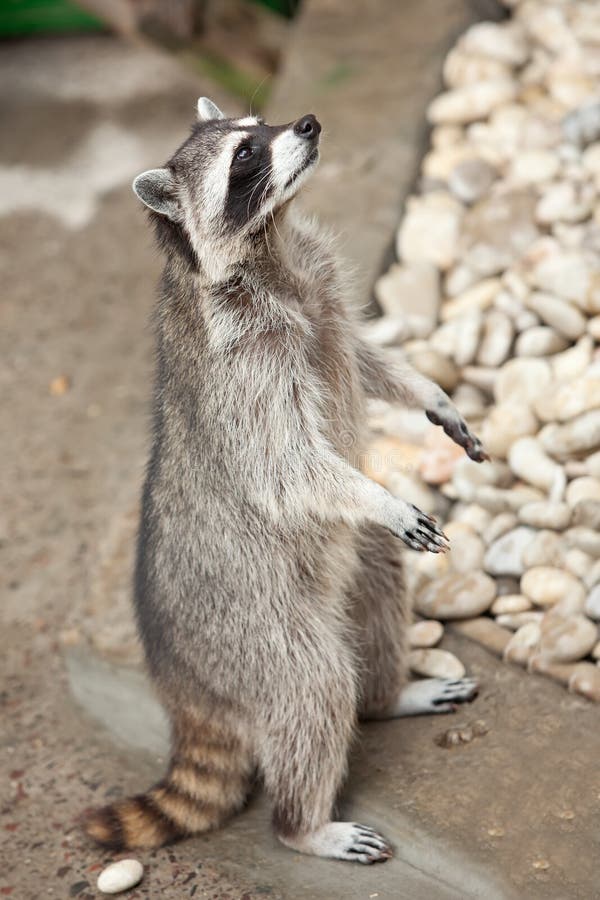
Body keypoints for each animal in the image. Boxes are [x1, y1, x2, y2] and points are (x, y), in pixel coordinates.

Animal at [83, 98, 485, 864]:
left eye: (257, 123)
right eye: (245, 156)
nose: (306, 123)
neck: (271, 247)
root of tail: (188, 692)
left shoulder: (323, 288)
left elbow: (363, 356)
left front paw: (428, 392)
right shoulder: (242, 364)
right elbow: (284, 466)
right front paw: (379, 494)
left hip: (346, 565)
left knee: (379, 596)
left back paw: (386, 696)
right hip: (255, 629)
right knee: (313, 692)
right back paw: (306, 826)